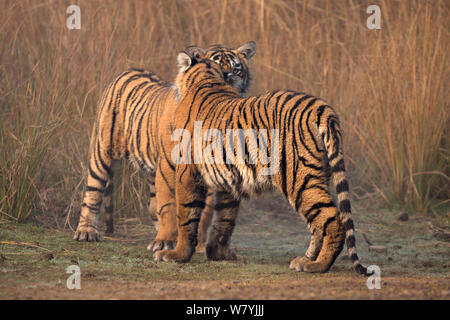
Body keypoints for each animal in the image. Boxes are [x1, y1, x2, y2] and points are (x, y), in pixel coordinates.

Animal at [73, 42, 256, 255]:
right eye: (219, 70)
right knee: (93, 191)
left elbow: (205, 212)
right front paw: (164, 242)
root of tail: (129, 70)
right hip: (102, 151)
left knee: (153, 203)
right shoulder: (168, 165)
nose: (229, 84)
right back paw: (86, 232)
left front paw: (199, 244)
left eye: (236, 70)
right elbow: (169, 205)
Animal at [153, 48, 370, 276]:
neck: (207, 78)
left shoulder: (187, 173)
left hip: (299, 178)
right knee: (317, 223)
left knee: (333, 219)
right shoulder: (228, 177)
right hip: (317, 175)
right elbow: (225, 217)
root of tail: (321, 107)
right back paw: (304, 260)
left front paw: (176, 254)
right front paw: (220, 253)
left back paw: (318, 265)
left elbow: (186, 214)